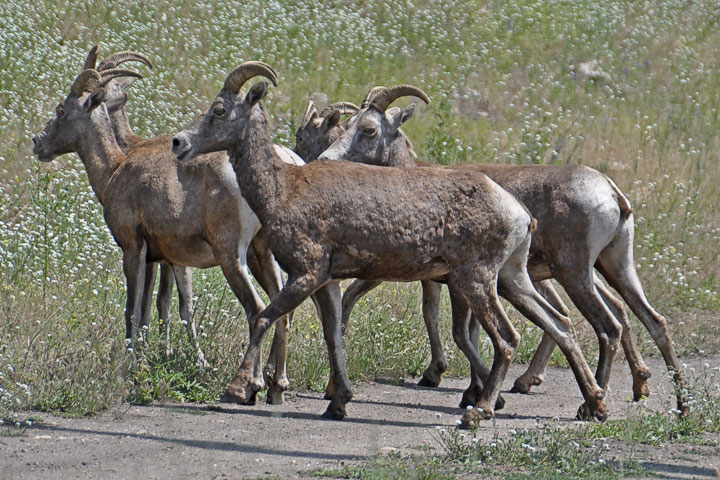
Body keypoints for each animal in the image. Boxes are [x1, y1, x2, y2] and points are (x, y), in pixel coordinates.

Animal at [31, 64, 300, 404]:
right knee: (281, 310)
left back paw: (247, 387)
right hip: (261, 253)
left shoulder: (133, 249)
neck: (114, 169)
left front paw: (134, 366)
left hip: (232, 256)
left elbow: (134, 310)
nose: (37, 142)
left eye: (61, 110)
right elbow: (164, 309)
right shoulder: (165, 259)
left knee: (257, 310)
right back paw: (277, 388)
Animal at [173, 62, 608, 426]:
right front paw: (338, 402)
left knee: (508, 337)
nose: (179, 142)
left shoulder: (306, 274)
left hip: (477, 280)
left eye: (219, 110)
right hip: (513, 279)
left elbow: (264, 317)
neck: (283, 189)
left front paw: (239, 389)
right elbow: (333, 334)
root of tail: (518, 212)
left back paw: (480, 411)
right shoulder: (326, 280)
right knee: (560, 324)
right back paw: (594, 405)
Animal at [320, 86, 688, 416]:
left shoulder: (443, 281)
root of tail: (611, 193)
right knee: (649, 320)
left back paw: (588, 404)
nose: (325, 159)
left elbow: (456, 331)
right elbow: (451, 325)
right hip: (614, 267)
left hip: (574, 274)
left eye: (368, 129)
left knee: (606, 326)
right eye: (348, 124)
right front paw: (470, 392)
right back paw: (672, 402)